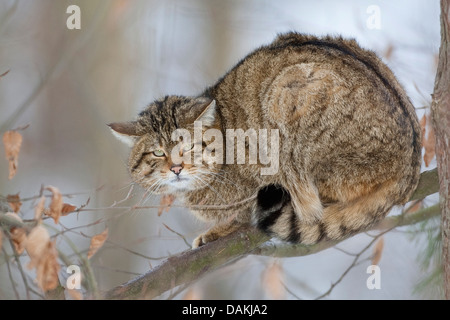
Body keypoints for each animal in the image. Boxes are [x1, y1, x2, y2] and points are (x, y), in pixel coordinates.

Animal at [109, 31, 422, 248]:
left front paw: (217, 231)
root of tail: (410, 168)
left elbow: (241, 212)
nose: (176, 168)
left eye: (188, 146)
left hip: (288, 94)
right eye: (158, 153)